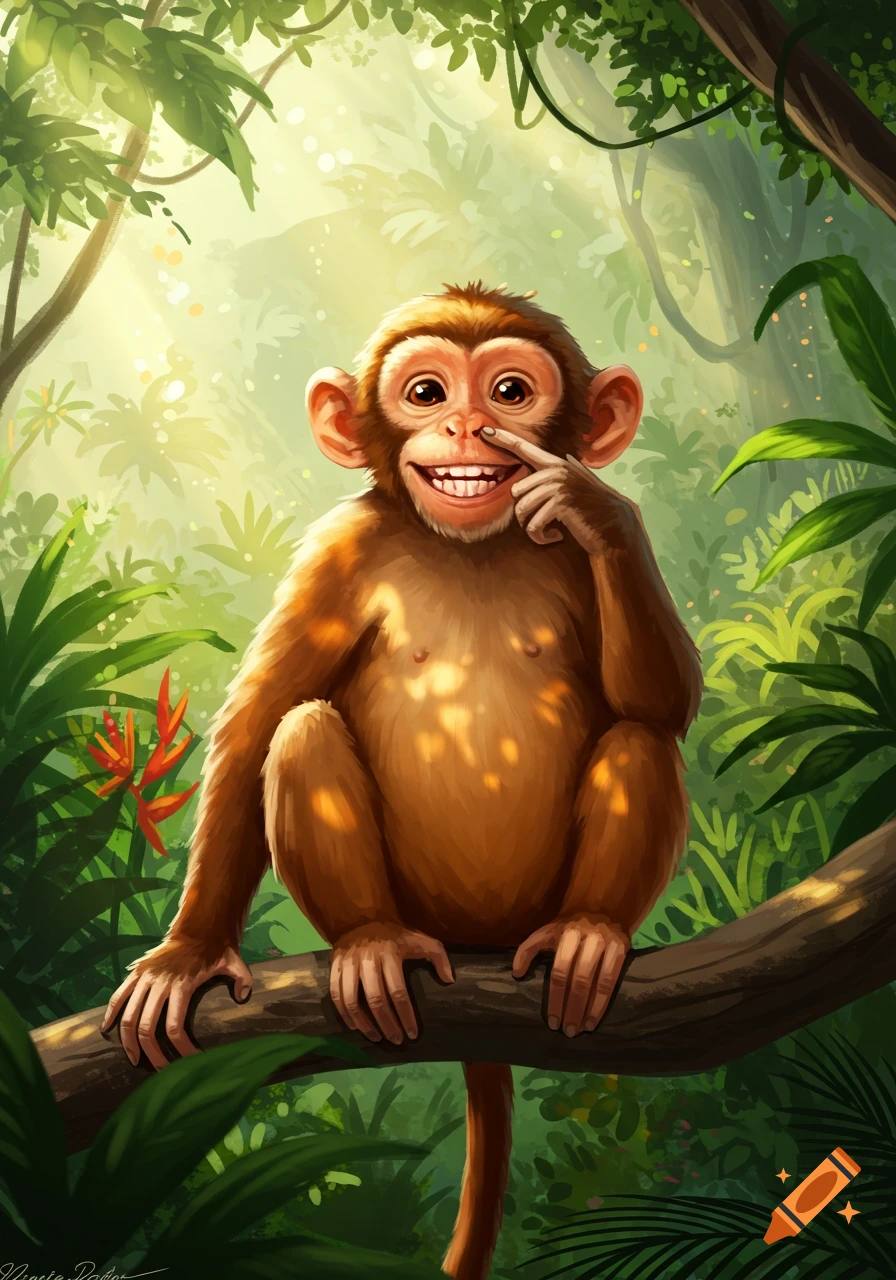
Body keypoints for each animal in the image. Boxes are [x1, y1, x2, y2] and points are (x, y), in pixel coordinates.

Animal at [103, 283, 702, 1280]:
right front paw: (188, 954)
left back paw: (589, 932)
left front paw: (594, 505)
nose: (464, 423)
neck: (471, 543)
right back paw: (372, 943)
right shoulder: (337, 551)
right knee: (303, 731)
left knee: (640, 736)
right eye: (425, 392)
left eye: (509, 391)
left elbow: (664, 697)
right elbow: (261, 722)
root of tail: (477, 949)